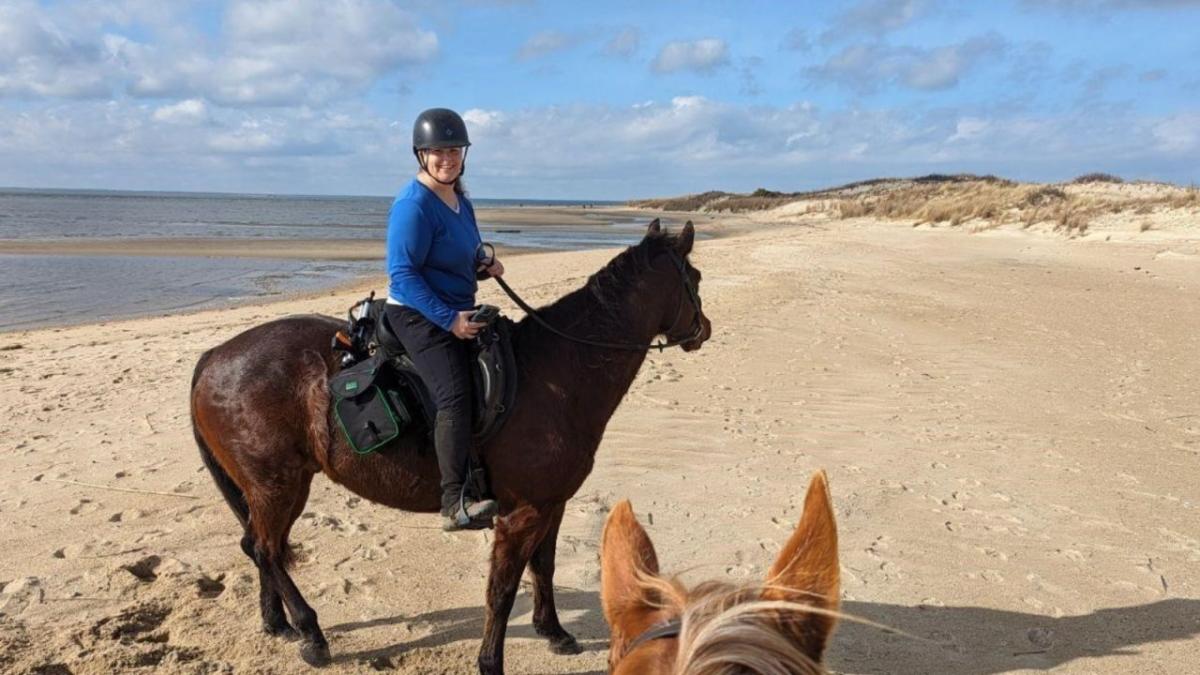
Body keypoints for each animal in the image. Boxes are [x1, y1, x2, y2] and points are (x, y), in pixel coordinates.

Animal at [190, 218, 705, 667]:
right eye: (695, 278)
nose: (704, 329)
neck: (556, 372)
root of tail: (214, 356)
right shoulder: (521, 514)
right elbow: (501, 591)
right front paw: (491, 662)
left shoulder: (551, 504)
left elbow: (544, 567)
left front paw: (554, 632)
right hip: (278, 486)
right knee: (266, 549)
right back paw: (312, 635)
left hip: (273, 490)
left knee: (260, 545)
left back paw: (278, 623)